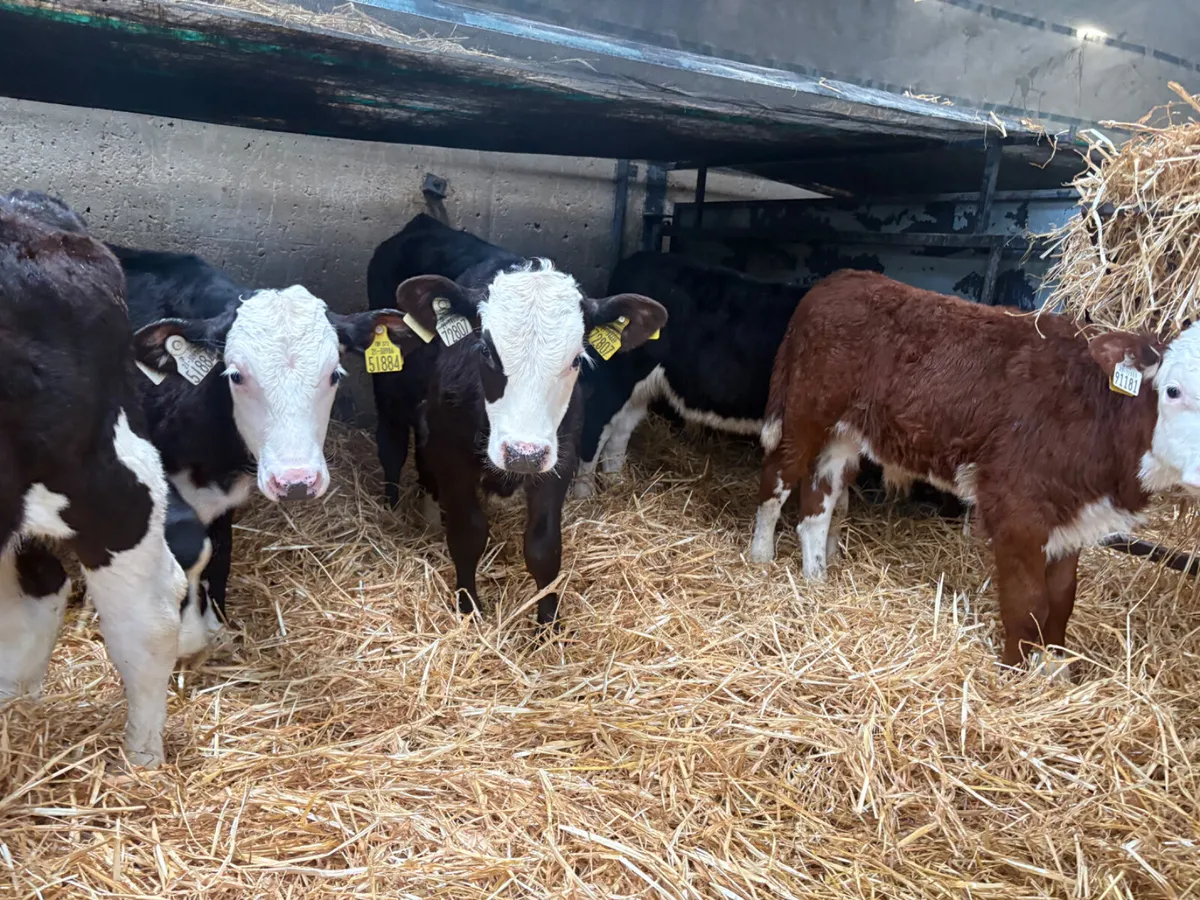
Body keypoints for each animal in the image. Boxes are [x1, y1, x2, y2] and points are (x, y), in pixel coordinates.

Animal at [377, 214, 667, 626]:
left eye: (577, 358)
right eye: (485, 350)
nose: (523, 453)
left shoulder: (560, 457)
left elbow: (544, 548)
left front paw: (549, 624)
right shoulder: (453, 457)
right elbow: (467, 535)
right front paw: (469, 607)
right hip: (387, 386)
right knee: (391, 445)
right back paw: (394, 508)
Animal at [748, 269, 1200, 671]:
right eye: (1172, 390)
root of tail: (838, 280)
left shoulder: (1073, 516)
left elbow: (1061, 600)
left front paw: (1055, 670)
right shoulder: (1015, 507)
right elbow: (1028, 602)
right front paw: (1015, 676)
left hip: (844, 433)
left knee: (817, 505)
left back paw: (815, 580)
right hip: (806, 413)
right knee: (778, 478)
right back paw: (760, 558)